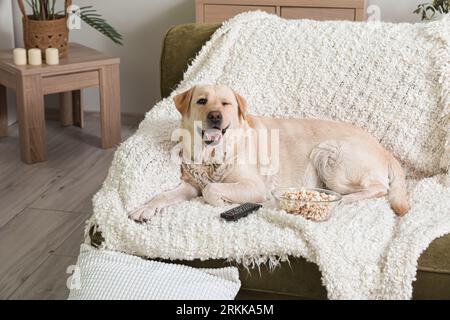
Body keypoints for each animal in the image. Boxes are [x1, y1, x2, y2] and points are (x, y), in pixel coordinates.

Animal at [128, 84, 410, 221]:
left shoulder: (253, 185)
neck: (212, 156)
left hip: (329, 155)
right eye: (201, 101)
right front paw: (146, 208)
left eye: (226, 103)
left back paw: (347, 200)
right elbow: (165, 195)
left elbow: (212, 190)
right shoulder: (190, 186)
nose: (215, 116)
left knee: (378, 188)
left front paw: (223, 202)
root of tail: (384, 149)